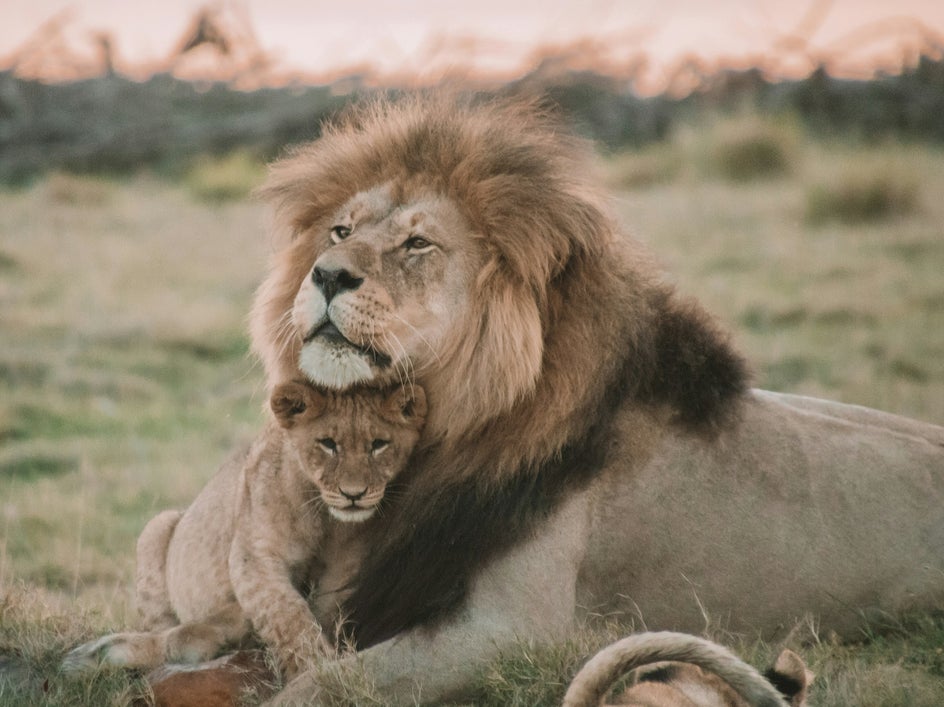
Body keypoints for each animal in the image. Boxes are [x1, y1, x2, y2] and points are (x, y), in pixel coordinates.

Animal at [251, 94, 944, 704]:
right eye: (339, 230)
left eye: (417, 244)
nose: (326, 274)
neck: (445, 431)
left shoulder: (513, 631)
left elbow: (323, 683)